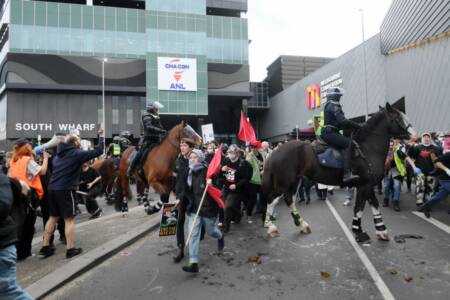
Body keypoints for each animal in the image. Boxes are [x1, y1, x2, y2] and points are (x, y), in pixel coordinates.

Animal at [262, 103, 416, 241]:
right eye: (398, 118)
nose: (415, 136)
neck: (368, 148)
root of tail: (275, 152)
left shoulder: (367, 185)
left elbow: (374, 205)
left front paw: (381, 231)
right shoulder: (364, 185)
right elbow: (359, 208)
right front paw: (358, 232)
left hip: (294, 182)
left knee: (288, 200)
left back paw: (301, 225)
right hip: (285, 183)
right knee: (271, 199)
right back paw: (271, 227)